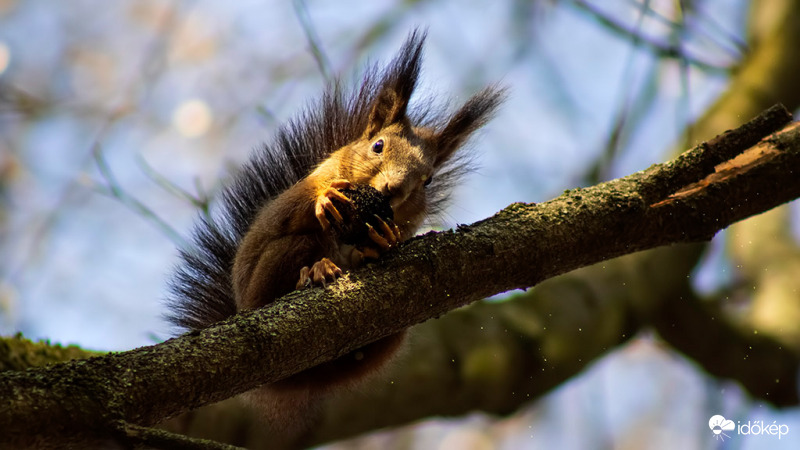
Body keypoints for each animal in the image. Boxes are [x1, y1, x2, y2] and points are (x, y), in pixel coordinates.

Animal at [165, 30, 504, 432]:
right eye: (378, 145)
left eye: (428, 179)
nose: (393, 188)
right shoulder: (304, 188)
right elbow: (291, 211)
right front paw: (324, 200)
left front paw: (379, 243)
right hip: (277, 269)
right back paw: (313, 273)